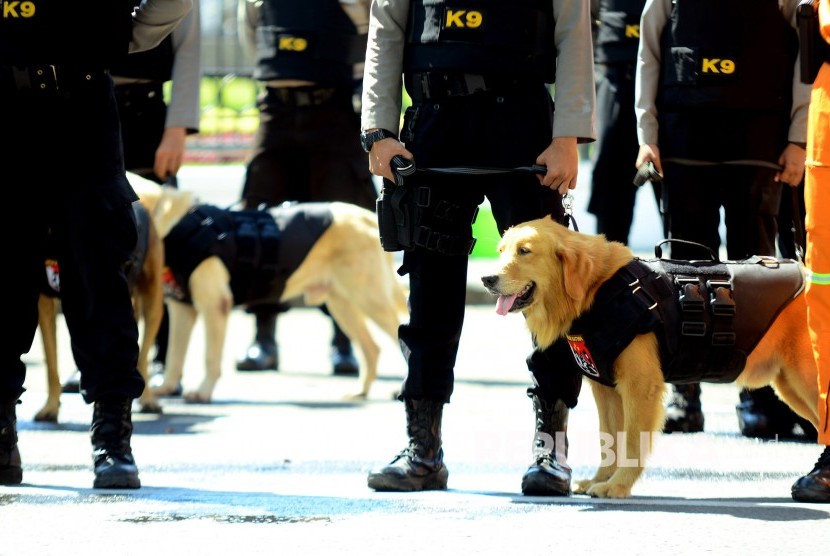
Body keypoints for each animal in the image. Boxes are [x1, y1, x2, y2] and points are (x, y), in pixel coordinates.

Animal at [34, 200, 166, 422]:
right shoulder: (44, 306)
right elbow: (51, 364)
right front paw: (51, 407)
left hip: (152, 302)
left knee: (143, 355)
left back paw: (147, 399)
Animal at [132, 178, 410, 404]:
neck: (171, 221)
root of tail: (366, 216)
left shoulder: (214, 304)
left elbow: (210, 357)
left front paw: (203, 392)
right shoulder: (182, 308)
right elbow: (174, 356)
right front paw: (165, 388)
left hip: (369, 298)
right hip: (341, 304)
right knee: (372, 348)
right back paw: (360, 391)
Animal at [484, 217, 824, 500]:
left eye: (524, 251)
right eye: (501, 250)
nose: (487, 278)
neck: (598, 288)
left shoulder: (640, 387)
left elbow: (633, 442)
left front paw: (618, 485)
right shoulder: (607, 391)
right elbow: (610, 441)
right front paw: (602, 478)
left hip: (807, 382)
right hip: (792, 388)